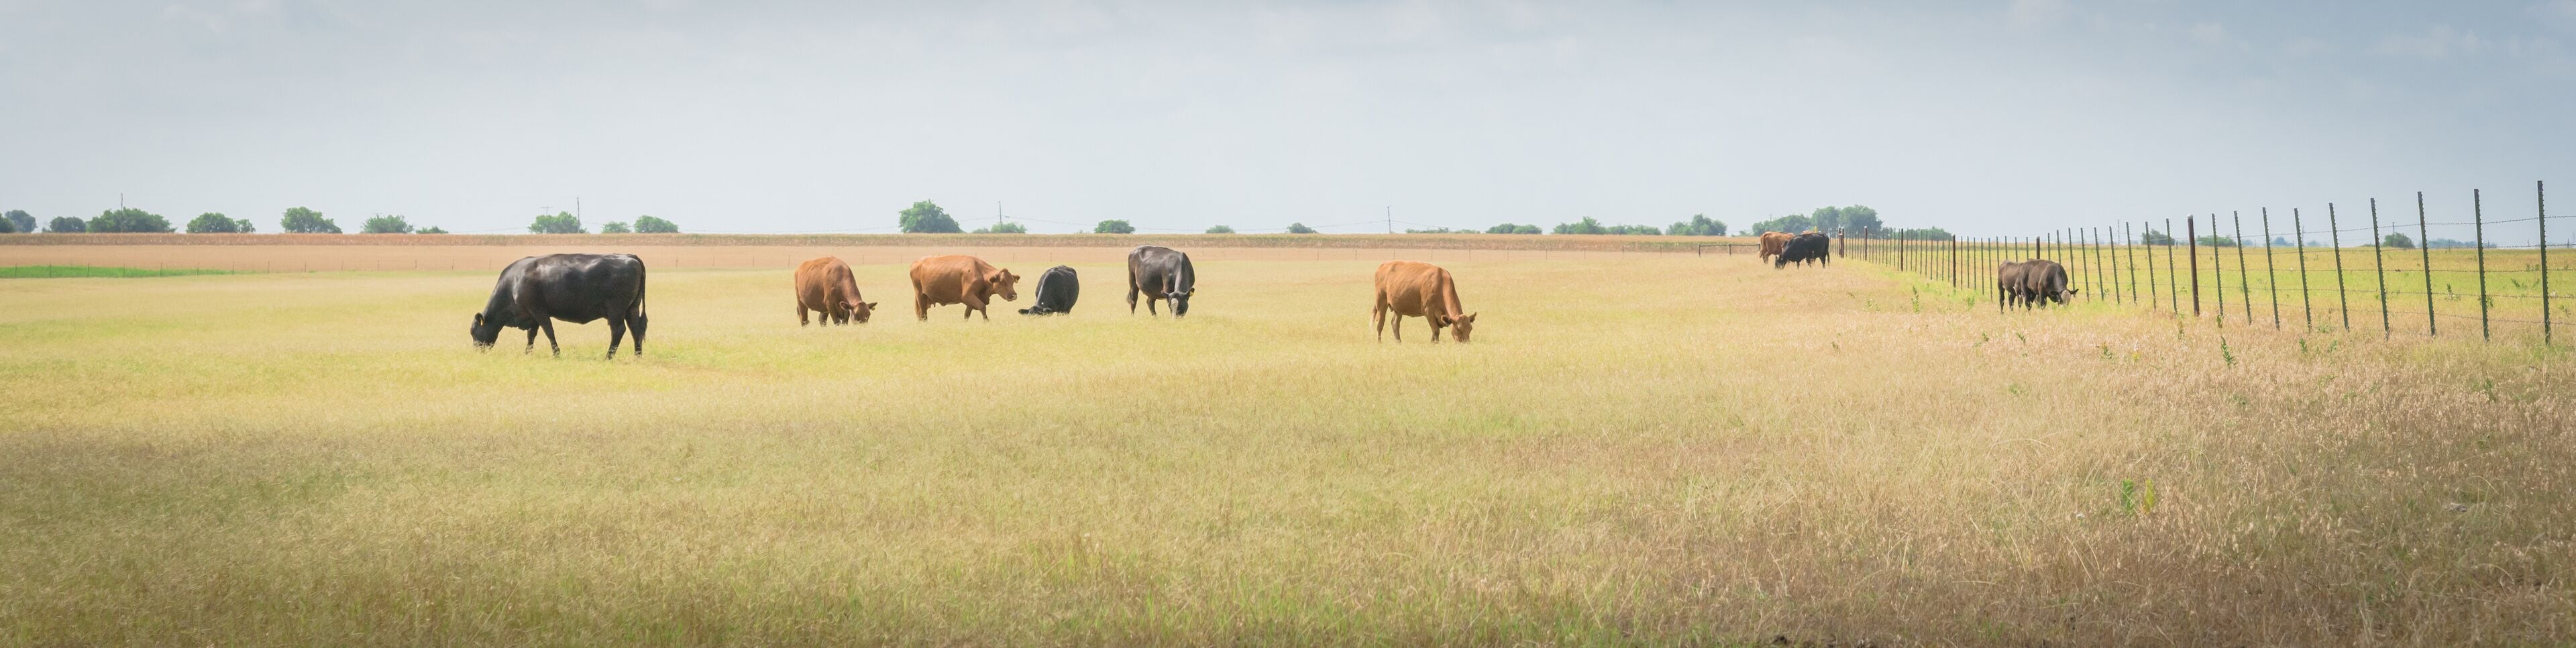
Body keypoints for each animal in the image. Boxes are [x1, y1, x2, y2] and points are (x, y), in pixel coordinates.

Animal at [470, 253, 648, 358]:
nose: (477, 352)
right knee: (635, 329)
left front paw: (556, 354)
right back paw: (637, 356)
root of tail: (630, 257)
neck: (513, 282)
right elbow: (531, 335)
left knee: (618, 331)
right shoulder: (532, 316)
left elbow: (549, 332)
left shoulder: (539, 311)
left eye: (473, 332)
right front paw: (528, 353)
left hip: (616, 310)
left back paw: (608, 357)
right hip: (632, 308)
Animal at [908, 255, 1019, 321]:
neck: (981, 273)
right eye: (1003, 282)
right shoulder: (968, 296)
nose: (1014, 295)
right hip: (920, 296)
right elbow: (983, 307)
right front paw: (987, 321)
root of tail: (917, 262)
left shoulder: (970, 302)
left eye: (1012, 282)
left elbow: (967, 315)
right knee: (923, 314)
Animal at [1372, 260, 1476, 343]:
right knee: (1380, 323)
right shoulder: (1428, 311)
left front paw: (1432, 343)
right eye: (1458, 329)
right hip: (1381, 301)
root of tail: (1384, 265)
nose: (1466, 343)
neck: (1441, 284)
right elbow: (1436, 331)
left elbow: (1434, 331)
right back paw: (1379, 342)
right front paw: (1437, 343)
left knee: (1395, 323)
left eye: (1470, 329)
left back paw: (1399, 342)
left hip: (1398, 307)